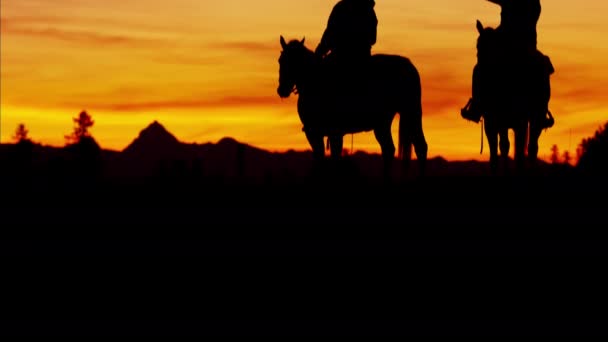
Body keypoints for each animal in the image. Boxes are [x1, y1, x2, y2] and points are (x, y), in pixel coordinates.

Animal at [276, 36, 428, 180]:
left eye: (295, 62)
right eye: (280, 61)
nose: (282, 90)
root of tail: (409, 65)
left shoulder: (328, 132)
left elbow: (332, 158)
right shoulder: (319, 133)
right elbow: (323, 158)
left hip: (411, 112)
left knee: (420, 147)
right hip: (383, 123)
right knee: (390, 149)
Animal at [470, 19, 556, 174]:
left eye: (493, 48)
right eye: (478, 46)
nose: (483, 76)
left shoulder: (520, 122)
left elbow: (518, 152)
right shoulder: (492, 121)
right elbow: (499, 149)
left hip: (537, 118)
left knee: (532, 147)